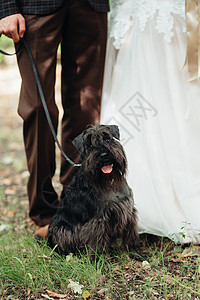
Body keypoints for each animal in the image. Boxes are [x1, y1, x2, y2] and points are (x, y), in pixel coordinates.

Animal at [47, 124, 140, 260]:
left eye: (107, 138)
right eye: (89, 144)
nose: (104, 154)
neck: (109, 182)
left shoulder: (128, 212)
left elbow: (131, 234)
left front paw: (136, 252)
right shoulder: (97, 220)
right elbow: (97, 241)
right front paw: (100, 260)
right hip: (60, 229)